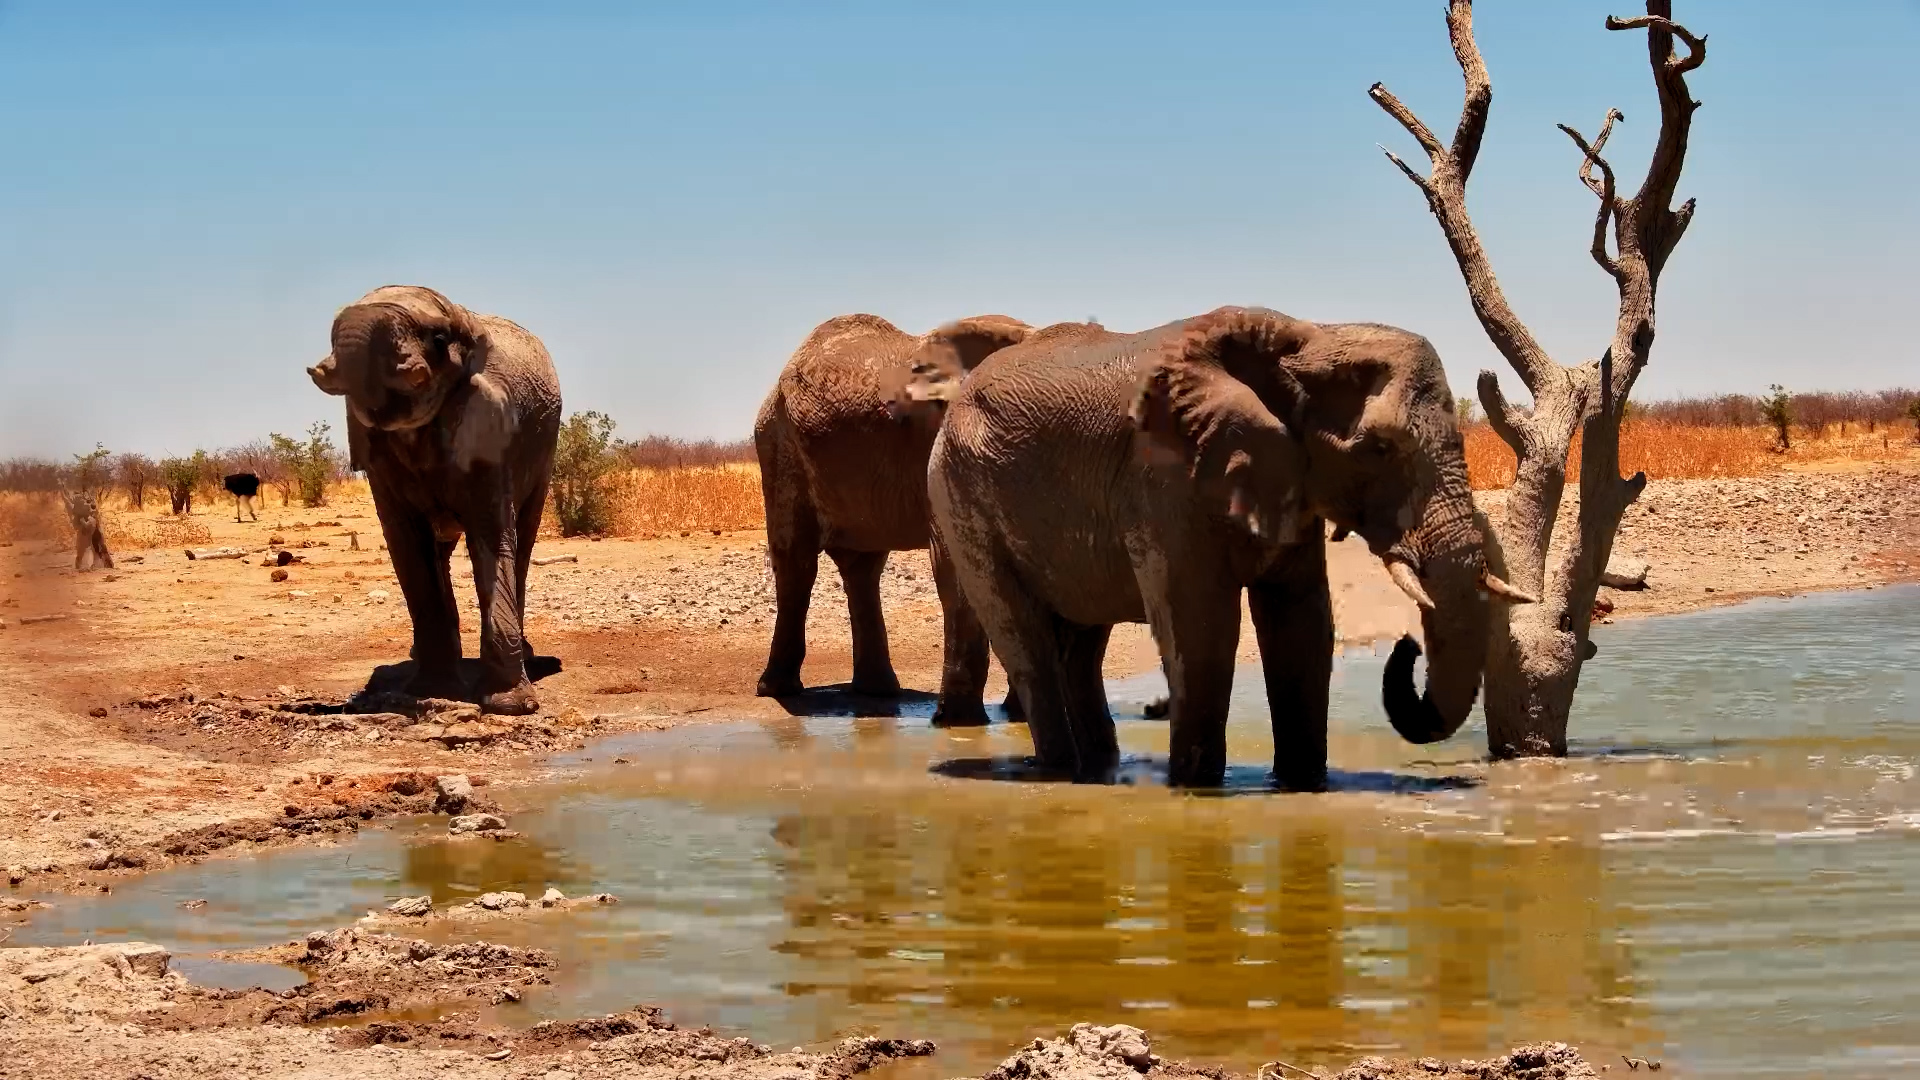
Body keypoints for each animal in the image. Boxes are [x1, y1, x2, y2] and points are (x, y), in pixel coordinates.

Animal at [307, 285, 562, 715]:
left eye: (438, 339)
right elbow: (407, 545)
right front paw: (430, 690)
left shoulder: (488, 425)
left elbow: (492, 535)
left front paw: (510, 706)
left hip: (544, 454)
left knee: (523, 539)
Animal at [753, 311, 1041, 721]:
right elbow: (954, 562)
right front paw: (959, 723)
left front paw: (1018, 717)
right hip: (779, 444)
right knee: (796, 561)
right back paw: (778, 690)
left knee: (861, 568)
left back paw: (877, 692)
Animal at [921, 306, 1533, 788]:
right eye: (1380, 448)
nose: (1406, 645)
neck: (1308, 337)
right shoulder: (1162, 481)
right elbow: (1201, 628)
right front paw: (1196, 788)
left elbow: (1302, 624)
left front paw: (1303, 786)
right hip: (959, 492)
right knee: (1025, 639)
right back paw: (1058, 771)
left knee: (1082, 642)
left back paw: (1100, 767)